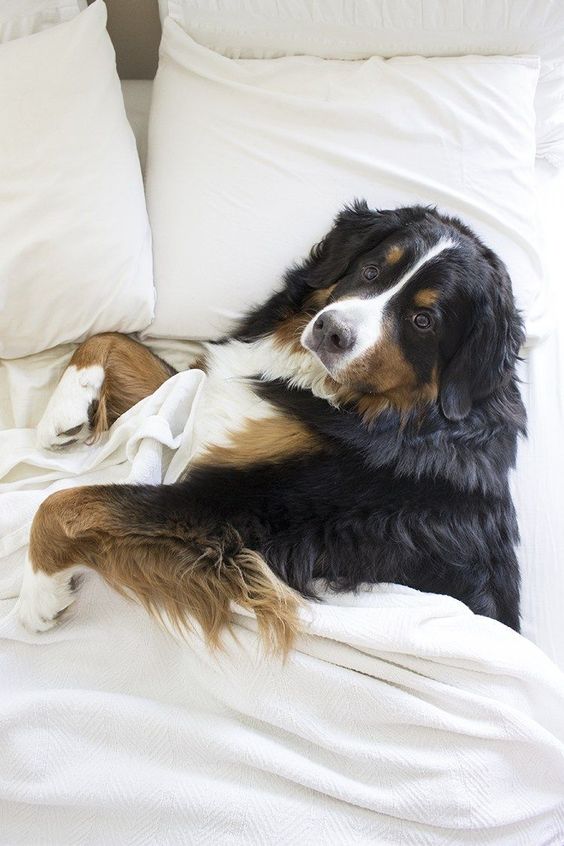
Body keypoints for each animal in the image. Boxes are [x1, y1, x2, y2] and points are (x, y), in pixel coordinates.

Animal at [15, 202, 528, 652]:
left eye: (423, 320)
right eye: (371, 271)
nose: (331, 331)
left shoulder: (238, 510)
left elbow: (65, 505)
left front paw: (38, 597)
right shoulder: (209, 389)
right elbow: (111, 340)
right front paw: (64, 410)